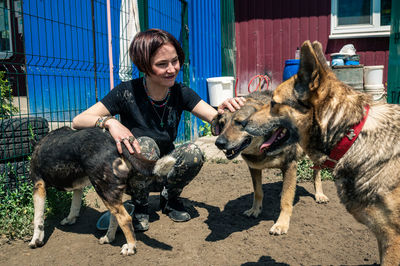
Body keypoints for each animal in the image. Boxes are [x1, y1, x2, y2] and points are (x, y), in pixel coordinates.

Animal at [28, 127, 176, 256]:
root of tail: (113, 140)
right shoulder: (78, 187)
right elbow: (74, 207)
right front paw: (70, 219)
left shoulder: (38, 186)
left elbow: (37, 219)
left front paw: (36, 240)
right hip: (109, 191)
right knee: (115, 217)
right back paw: (109, 237)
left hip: (103, 189)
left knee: (125, 218)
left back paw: (130, 247)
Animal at [209, 91, 328, 235]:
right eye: (221, 124)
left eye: (240, 123)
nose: (219, 143)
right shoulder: (254, 167)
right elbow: (258, 192)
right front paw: (255, 210)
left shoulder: (290, 165)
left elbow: (286, 201)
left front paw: (281, 224)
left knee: (316, 172)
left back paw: (319, 194)